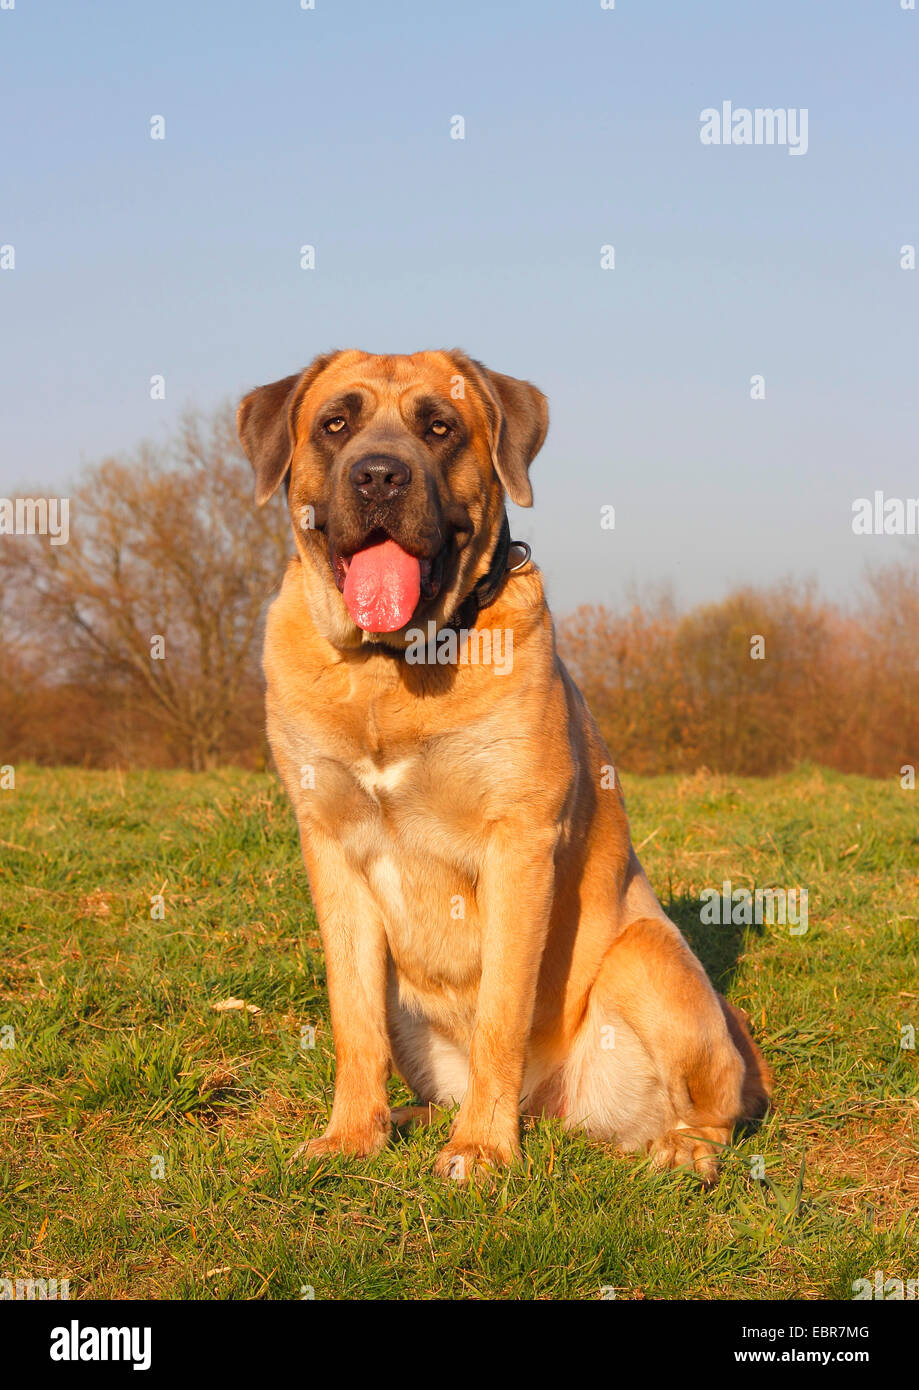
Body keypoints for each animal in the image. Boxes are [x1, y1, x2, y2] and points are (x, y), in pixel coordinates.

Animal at [236, 350, 767, 1184]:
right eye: (335, 424)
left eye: (439, 428)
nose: (379, 476)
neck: (394, 670)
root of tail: (548, 1108)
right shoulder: (330, 845)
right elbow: (352, 1018)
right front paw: (352, 1134)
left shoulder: (518, 842)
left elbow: (500, 1012)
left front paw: (481, 1150)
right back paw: (412, 1116)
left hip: (647, 957)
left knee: (716, 1110)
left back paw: (681, 1148)